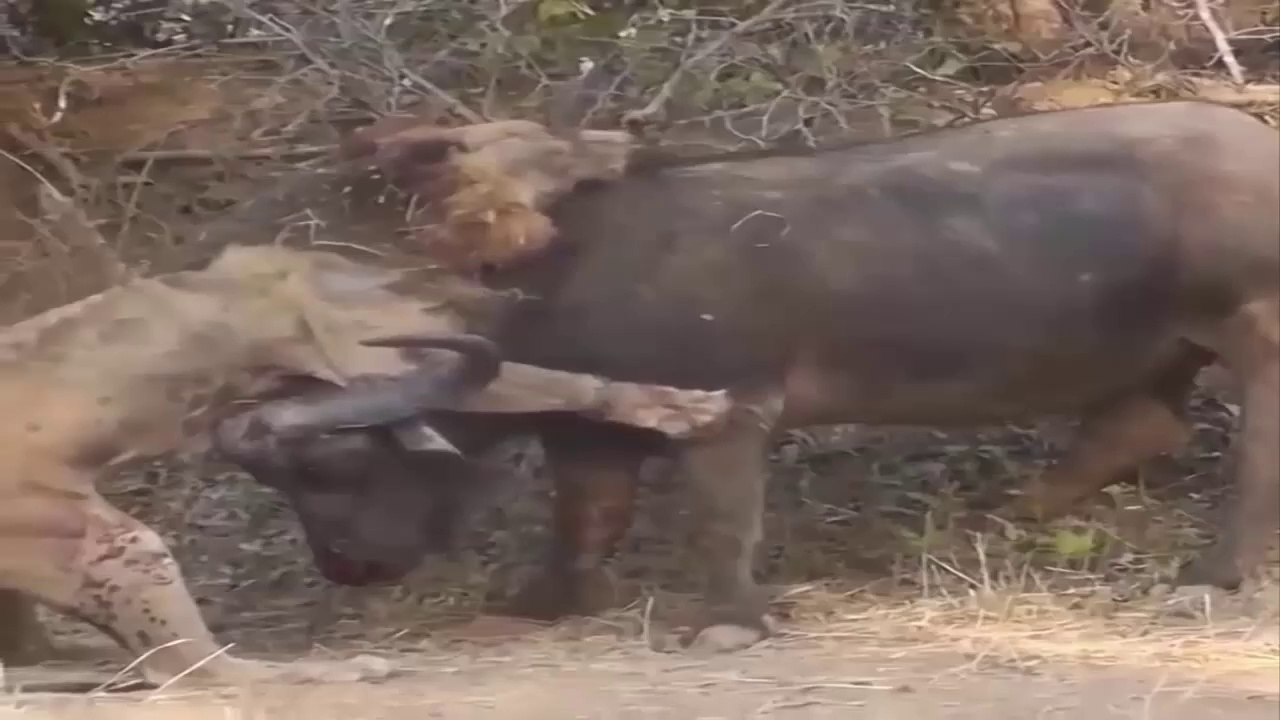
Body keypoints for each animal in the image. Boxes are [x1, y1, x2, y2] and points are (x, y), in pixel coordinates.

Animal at [0, 242, 733, 683]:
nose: (508, 297)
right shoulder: (368, 356)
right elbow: (554, 380)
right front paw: (686, 407)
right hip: (119, 545)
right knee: (203, 667)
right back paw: (349, 667)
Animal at [171, 100, 1280, 654]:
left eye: (334, 470)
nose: (344, 569)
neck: (552, 272)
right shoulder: (592, 436)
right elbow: (583, 525)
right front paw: (541, 604)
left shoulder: (730, 409)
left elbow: (719, 520)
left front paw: (726, 623)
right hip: (1157, 355)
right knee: (1139, 427)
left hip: (1251, 327)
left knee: (1251, 446)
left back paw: (1219, 570)